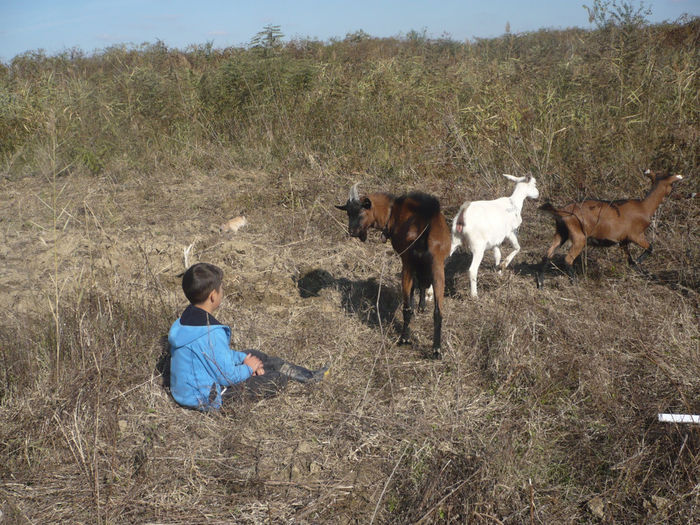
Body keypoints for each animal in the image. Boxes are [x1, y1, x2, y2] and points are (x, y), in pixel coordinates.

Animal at [336, 182, 452, 358]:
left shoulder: (406, 259)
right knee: (438, 312)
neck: (394, 211)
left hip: (408, 264)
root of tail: (427, 221)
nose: (353, 233)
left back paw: (404, 339)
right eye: (348, 213)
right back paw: (436, 349)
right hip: (438, 267)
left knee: (406, 307)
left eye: (361, 212)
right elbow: (421, 283)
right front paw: (422, 306)